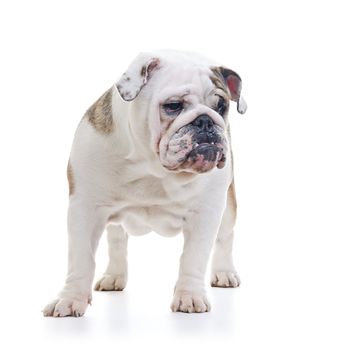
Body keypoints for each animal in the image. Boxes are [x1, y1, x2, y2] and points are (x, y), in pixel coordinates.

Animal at [42, 51, 247, 318]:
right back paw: (114, 276)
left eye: (222, 106)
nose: (205, 121)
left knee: (224, 239)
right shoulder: (84, 208)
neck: (152, 165)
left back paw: (224, 272)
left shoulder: (206, 212)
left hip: (228, 207)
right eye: (173, 105)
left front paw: (189, 297)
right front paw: (70, 299)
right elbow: (81, 258)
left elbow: (193, 257)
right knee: (117, 240)